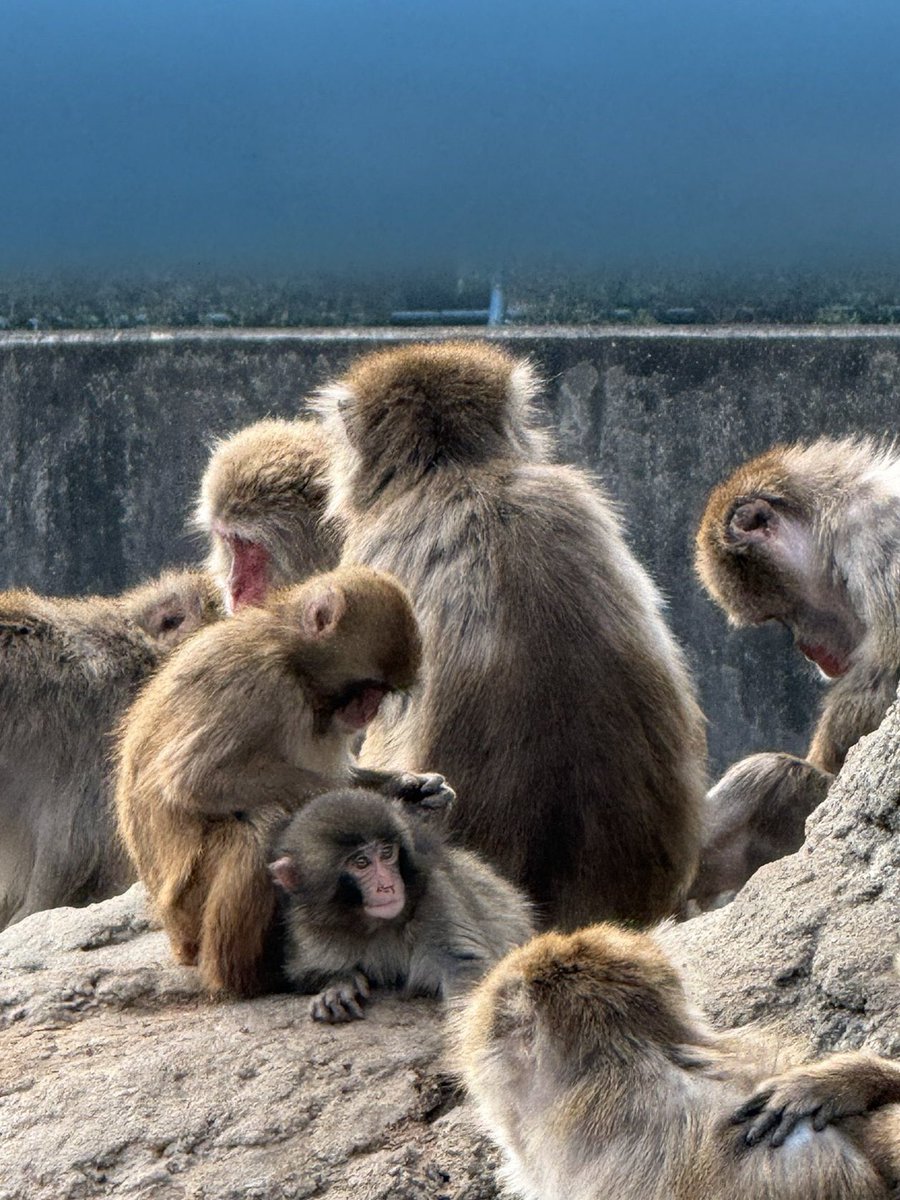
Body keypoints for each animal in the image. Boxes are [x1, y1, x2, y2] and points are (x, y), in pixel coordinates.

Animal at [115, 564, 453, 998]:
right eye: (369, 687)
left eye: (382, 692)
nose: (371, 709)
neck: (292, 657)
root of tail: (173, 935)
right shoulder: (258, 684)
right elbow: (193, 779)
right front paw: (387, 803)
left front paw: (412, 788)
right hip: (187, 910)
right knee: (260, 824)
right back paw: (248, 978)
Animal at [269, 786, 533, 1022]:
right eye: (361, 863)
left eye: (387, 853)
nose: (387, 886)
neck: (373, 924)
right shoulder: (311, 928)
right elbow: (302, 973)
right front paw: (338, 984)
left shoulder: (438, 897)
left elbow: (466, 967)